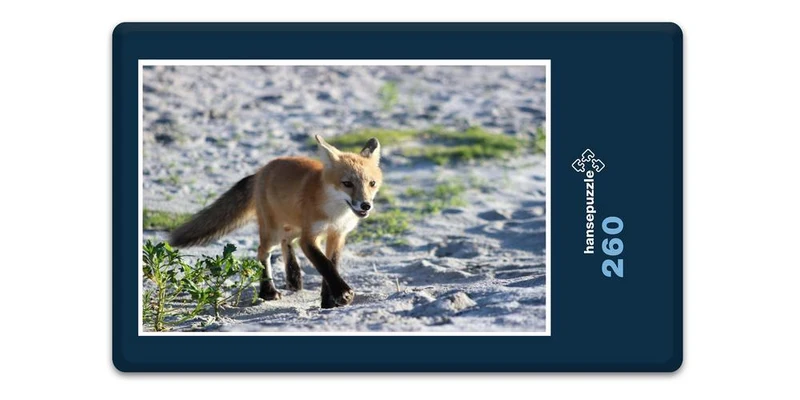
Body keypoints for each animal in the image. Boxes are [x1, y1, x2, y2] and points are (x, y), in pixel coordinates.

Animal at [169, 135, 382, 308]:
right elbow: (324, 265)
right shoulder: (309, 237)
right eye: (347, 184)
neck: (336, 214)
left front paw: (329, 302)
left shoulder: (337, 235)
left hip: (293, 226)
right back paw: (268, 291)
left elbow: (331, 265)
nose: (365, 205)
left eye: (372, 184)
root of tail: (261, 170)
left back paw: (293, 277)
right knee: (262, 251)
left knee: (286, 242)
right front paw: (342, 294)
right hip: (273, 231)